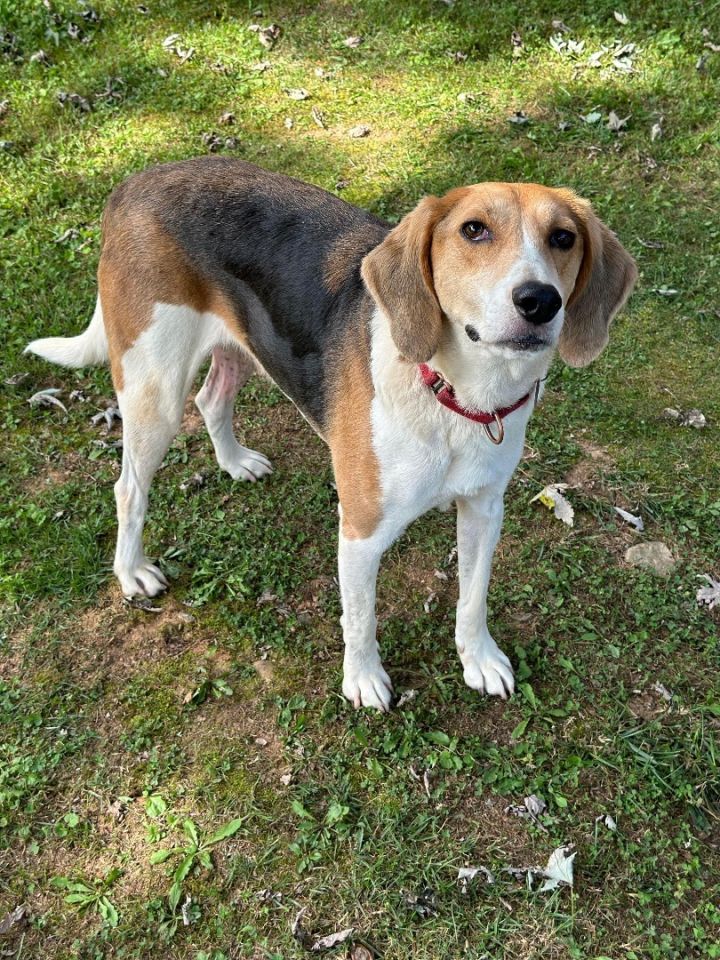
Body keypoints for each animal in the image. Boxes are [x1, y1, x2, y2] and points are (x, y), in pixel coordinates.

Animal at [25, 158, 640, 708]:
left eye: (562, 238)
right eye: (474, 230)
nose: (540, 300)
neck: (457, 395)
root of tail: (136, 181)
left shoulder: (485, 509)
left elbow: (473, 598)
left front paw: (479, 660)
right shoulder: (361, 532)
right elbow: (360, 618)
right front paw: (363, 681)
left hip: (244, 345)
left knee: (212, 397)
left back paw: (234, 461)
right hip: (154, 391)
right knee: (129, 486)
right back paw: (132, 572)